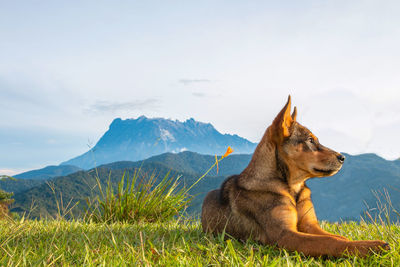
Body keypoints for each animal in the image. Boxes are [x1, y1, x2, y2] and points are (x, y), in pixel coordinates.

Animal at [202, 96, 390, 258]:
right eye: (310, 140)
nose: (342, 158)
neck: (292, 188)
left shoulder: (309, 225)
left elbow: (336, 236)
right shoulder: (284, 235)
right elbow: (330, 241)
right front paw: (371, 246)